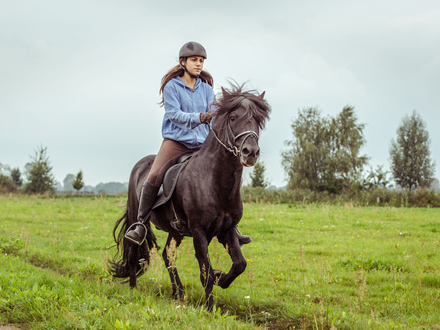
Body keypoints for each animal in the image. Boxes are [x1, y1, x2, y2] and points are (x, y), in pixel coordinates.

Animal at [109, 84, 272, 310]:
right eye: (232, 118)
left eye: (258, 120)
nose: (250, 152)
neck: (214, 182)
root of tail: (140, 164)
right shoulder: (199, 232)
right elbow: (206, 273)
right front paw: (210, 309)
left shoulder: (227, 230)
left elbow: (239, 264)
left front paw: (222, 278)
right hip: (137, 217)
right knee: (134, 252)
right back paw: (134, 289)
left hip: (175, 231)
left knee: (167, 256)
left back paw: (178, 293)